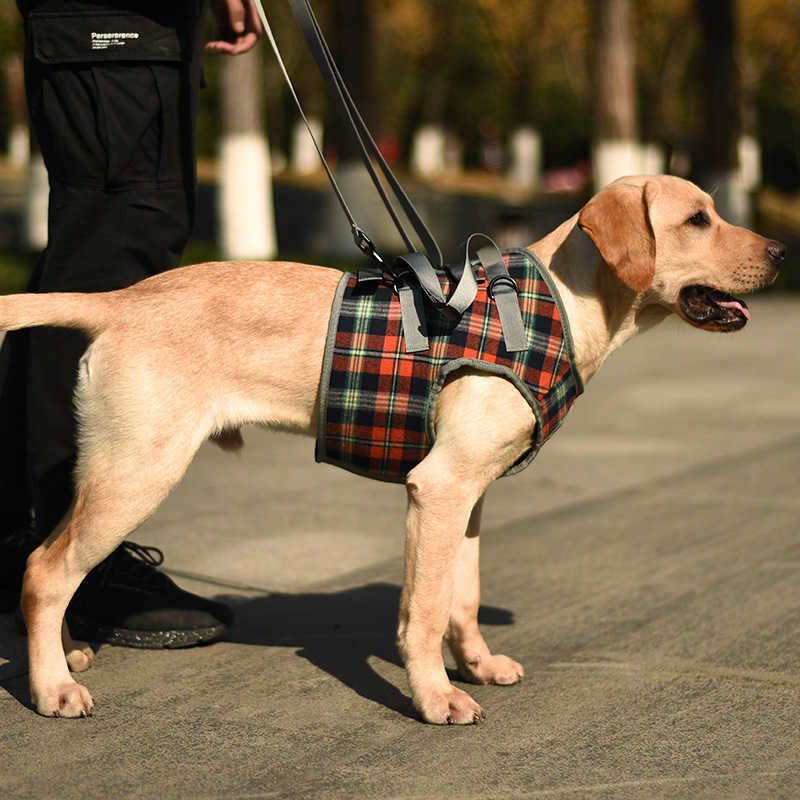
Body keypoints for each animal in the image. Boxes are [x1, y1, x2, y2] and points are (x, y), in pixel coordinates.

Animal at [0, 177, 788, 724]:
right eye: (697, 220)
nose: (783, 252)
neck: (558, 305)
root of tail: (121, 300)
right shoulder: (438, 487)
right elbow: (426, 611)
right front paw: (435, 698)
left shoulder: (470, 493)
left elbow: (463, 598)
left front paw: (476, 666)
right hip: (137, 469)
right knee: (44, 571)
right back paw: (51, 688)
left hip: (113, 470)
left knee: (51, 558)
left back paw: (64, 656)